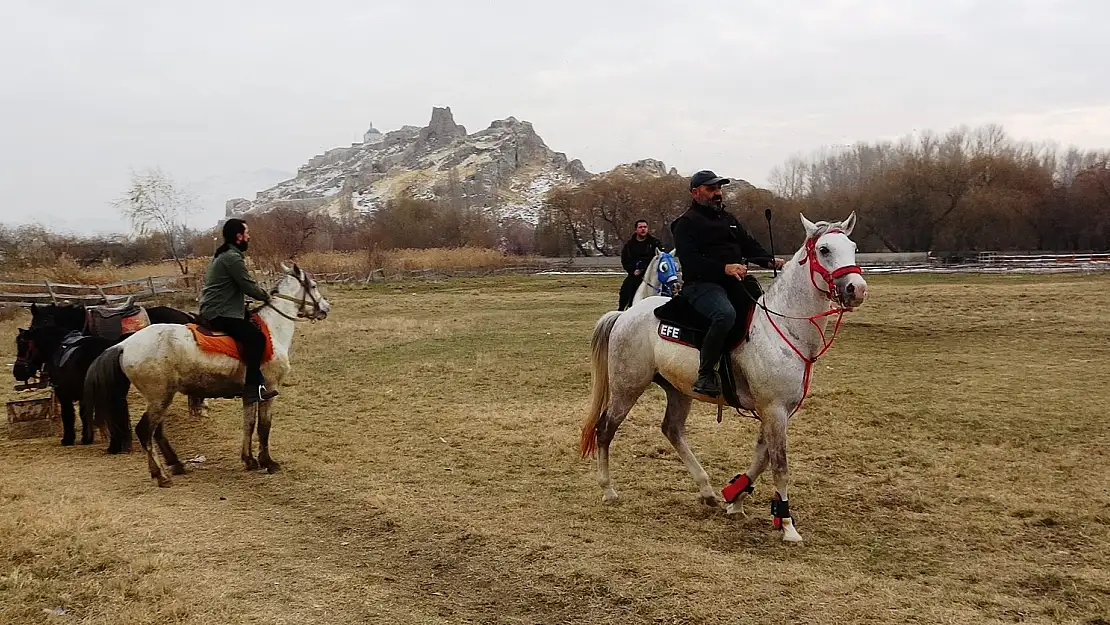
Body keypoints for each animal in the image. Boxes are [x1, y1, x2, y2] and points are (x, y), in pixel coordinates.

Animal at [86, 264, 328, 488]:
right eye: (314, 286)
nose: (326, 308)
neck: (271, 329)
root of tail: (124, 345)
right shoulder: (269, 389)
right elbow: (263, 427)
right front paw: (268, 462)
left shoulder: (249, 394)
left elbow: (248, 424)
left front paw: (249, 460)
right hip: (160, 397)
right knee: (145, 430)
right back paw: (161, 475)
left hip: (160, 398)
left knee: (156, 432)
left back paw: (174, 465)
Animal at [581, 212, 865, 543]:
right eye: (824, 249)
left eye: (853, 247)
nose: (857, 289)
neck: (782, 326)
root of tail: (625, 315)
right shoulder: (774, 409)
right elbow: (779, 465)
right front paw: (787, 524)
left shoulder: (777, 411)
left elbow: (761, 457)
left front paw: (735, 497)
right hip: (627, 387)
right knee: (605, 429)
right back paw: (608, 490)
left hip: (678, 390)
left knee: (672, 430)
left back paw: (706, 490)